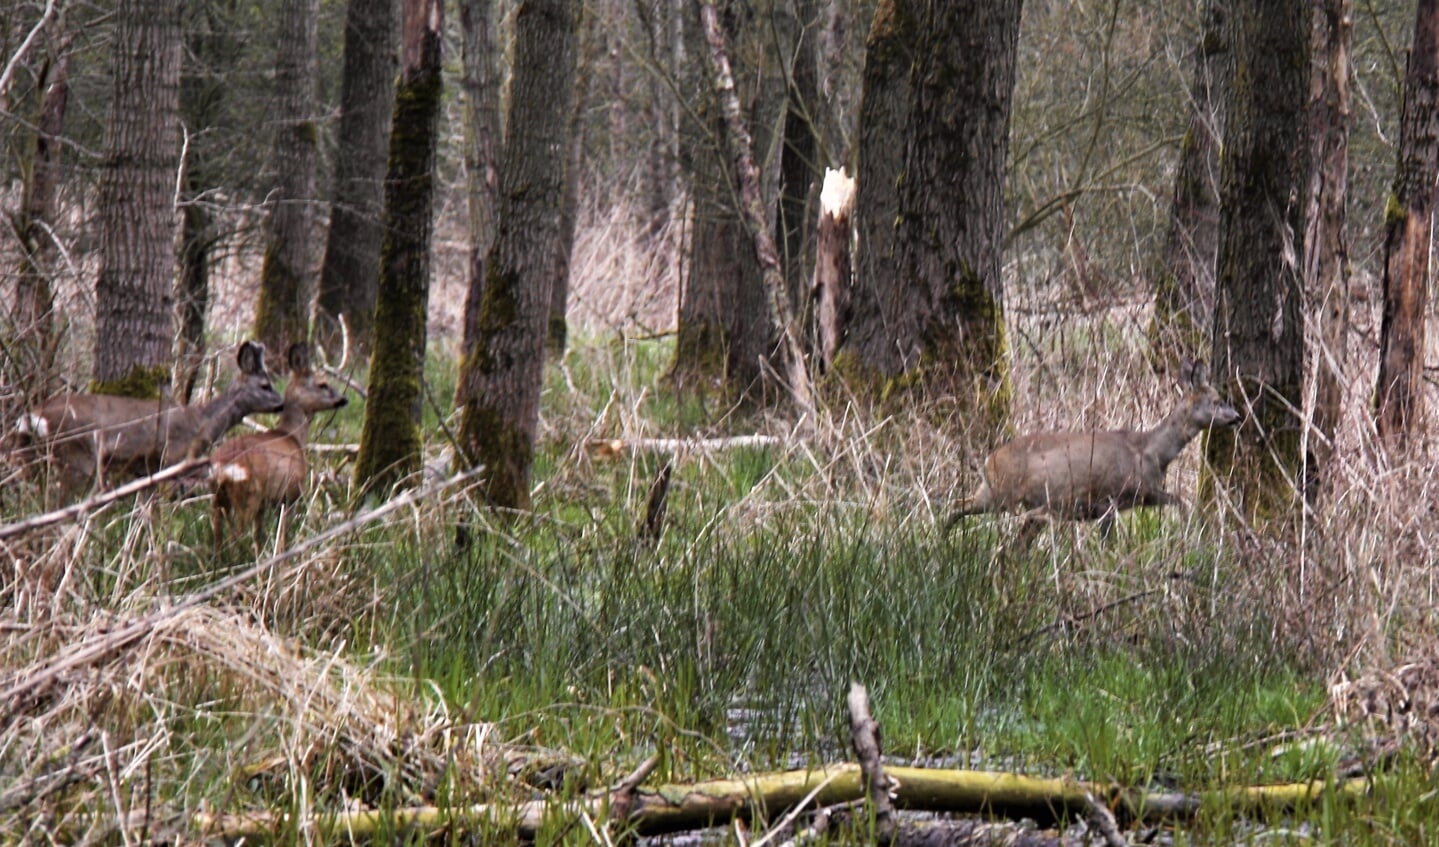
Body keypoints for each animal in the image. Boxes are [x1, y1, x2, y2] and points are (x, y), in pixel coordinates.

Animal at [15, 340, 282, 497]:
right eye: (265, 385)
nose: (281, 404)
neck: (200, 423)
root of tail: (34, 415)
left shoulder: (144, 470)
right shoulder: (170, 459)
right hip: (77, 454)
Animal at [208, 340, 348, 552]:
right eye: (322, 384)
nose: (343, 399)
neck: (292, 436)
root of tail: (222, 468)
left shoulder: (264, 505)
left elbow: (258, 535)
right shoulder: (291, 493)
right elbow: (283, 535)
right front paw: (282, 555)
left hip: (217, 498)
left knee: (218, 537)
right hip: (248, 494)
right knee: (237, 536)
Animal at [943, 358, 1237, 549]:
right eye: (1216, 401)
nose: (1236, 416)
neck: (1151, 453)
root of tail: (990, 459)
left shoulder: (1143, 495)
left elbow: (1179, 500)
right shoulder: (1108, 498)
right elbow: (1109, 543)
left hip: (1025, 505)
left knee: (1013, 543)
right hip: (1001, 494)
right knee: (958, 506)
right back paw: (943, 544)